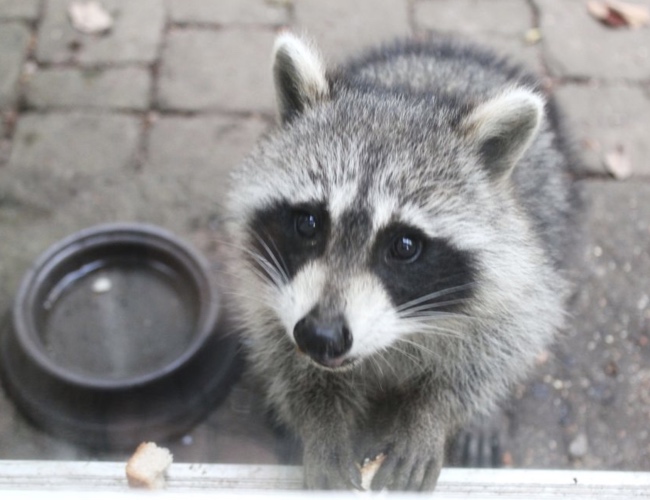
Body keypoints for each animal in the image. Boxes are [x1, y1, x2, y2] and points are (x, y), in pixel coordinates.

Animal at [223, 32, 575, 491]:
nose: (320, 335)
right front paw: (321, 422)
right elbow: (282, 350)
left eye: (405, 246)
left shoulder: (518, 277)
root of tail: (442, 52)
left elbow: (489, 352)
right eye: (308, 223)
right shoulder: (269, 282)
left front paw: (430, 418)